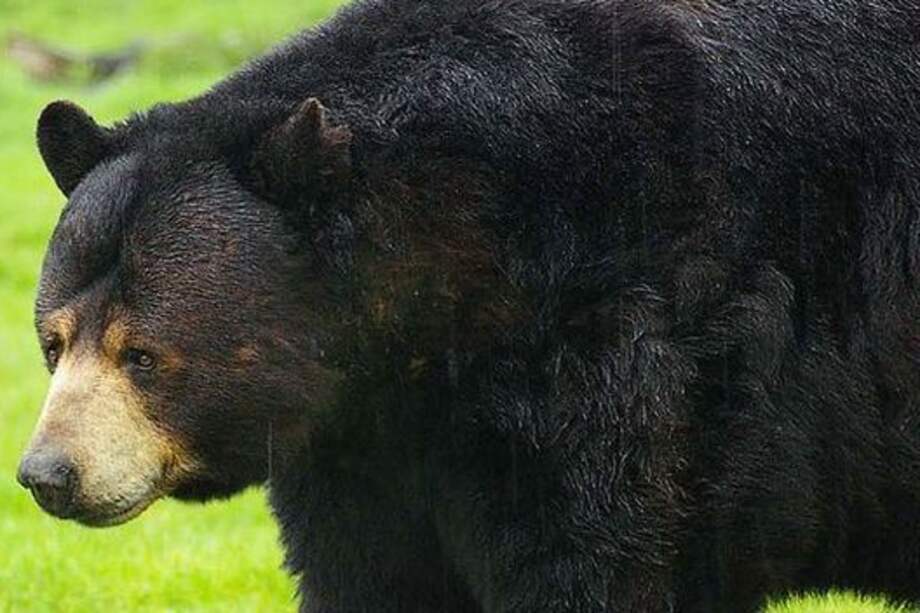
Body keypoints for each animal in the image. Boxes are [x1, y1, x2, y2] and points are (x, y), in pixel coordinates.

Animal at [15, 0, 920, 611]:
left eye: (143, 353)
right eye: (53, 342)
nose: (48, 473)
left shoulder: (618, 355)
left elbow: (592, 556)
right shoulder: (366, 437)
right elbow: (376, 572)